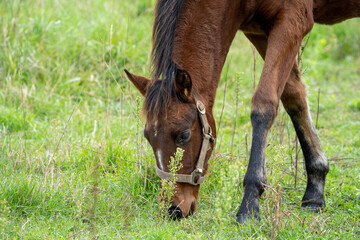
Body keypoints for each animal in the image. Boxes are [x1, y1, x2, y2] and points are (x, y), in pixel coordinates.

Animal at [124, 0, 360, 224]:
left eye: (184, 135)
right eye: (148, 137)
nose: (173, 209)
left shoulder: (292, 23)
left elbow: (264, 104)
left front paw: (249, 204)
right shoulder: (259, 31)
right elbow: (294, 94)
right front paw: (315, 191)